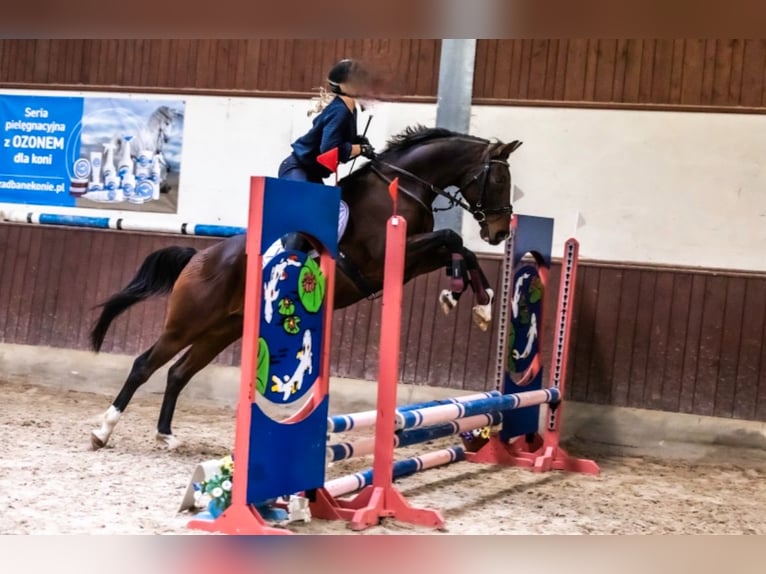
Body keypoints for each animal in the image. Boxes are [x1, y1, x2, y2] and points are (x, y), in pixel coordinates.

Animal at [88, 125, 520, 450]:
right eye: (499, 179)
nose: (500, 232)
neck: (402, 189)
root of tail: (199, 258)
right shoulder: (386, 257)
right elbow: (452, 237)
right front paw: (465, 298)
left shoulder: (410, 262)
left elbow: (460, 248)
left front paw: (476, 304)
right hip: (189, 322)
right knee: (144, 365)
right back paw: (103, 430)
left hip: (222, 330)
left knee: (178, 373)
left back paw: (165, 435)